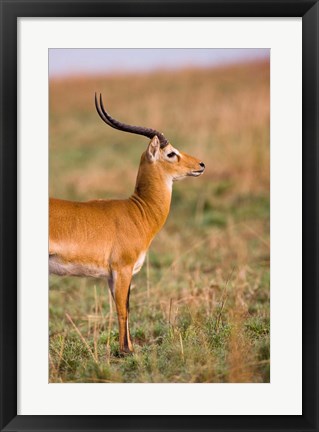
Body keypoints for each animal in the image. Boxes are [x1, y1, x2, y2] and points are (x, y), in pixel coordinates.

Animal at [49, 93, 206, 352]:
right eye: (171, 153)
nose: (201, 165)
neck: (137, 211)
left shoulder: (115, 275)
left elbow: (125, 307)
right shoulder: (122, 269)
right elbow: (124, 309)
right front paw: (126, 352)